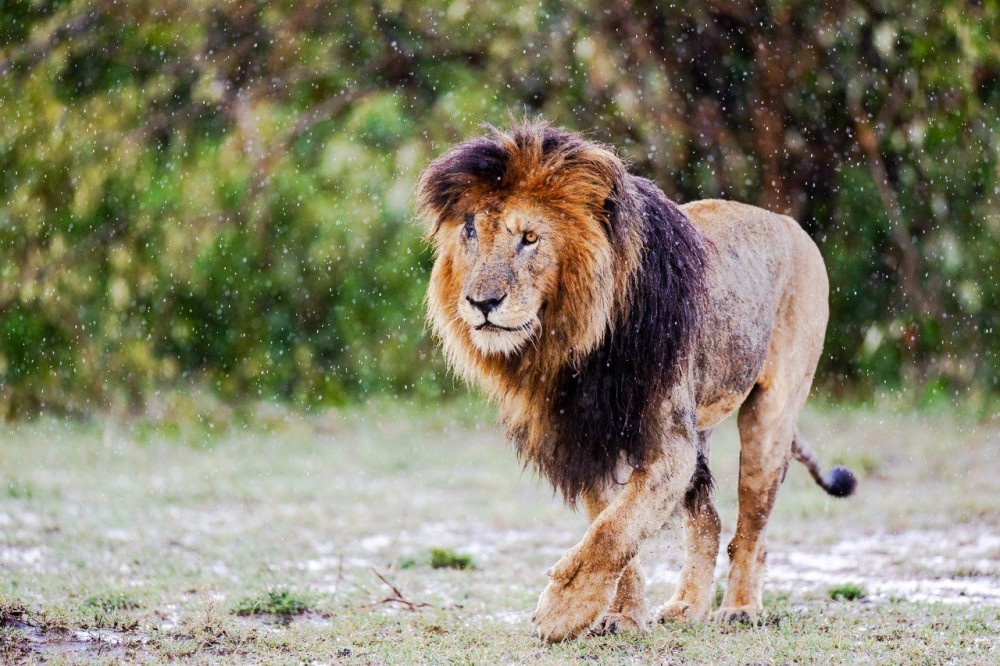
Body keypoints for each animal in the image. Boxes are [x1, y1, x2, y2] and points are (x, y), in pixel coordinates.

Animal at [418, 119, 856, 640]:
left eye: (529, 237)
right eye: (469, 232)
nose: (481, 302)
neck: (573, 347)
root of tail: (789, 225)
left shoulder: (669, 445)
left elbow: (616, 529)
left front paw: (562, 609)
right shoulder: (586, 440)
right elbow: (611, 526)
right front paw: (619, 615)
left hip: (769, 416)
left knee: (753, 525)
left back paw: (740, 608)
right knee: (708, 520)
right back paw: (687, 606)